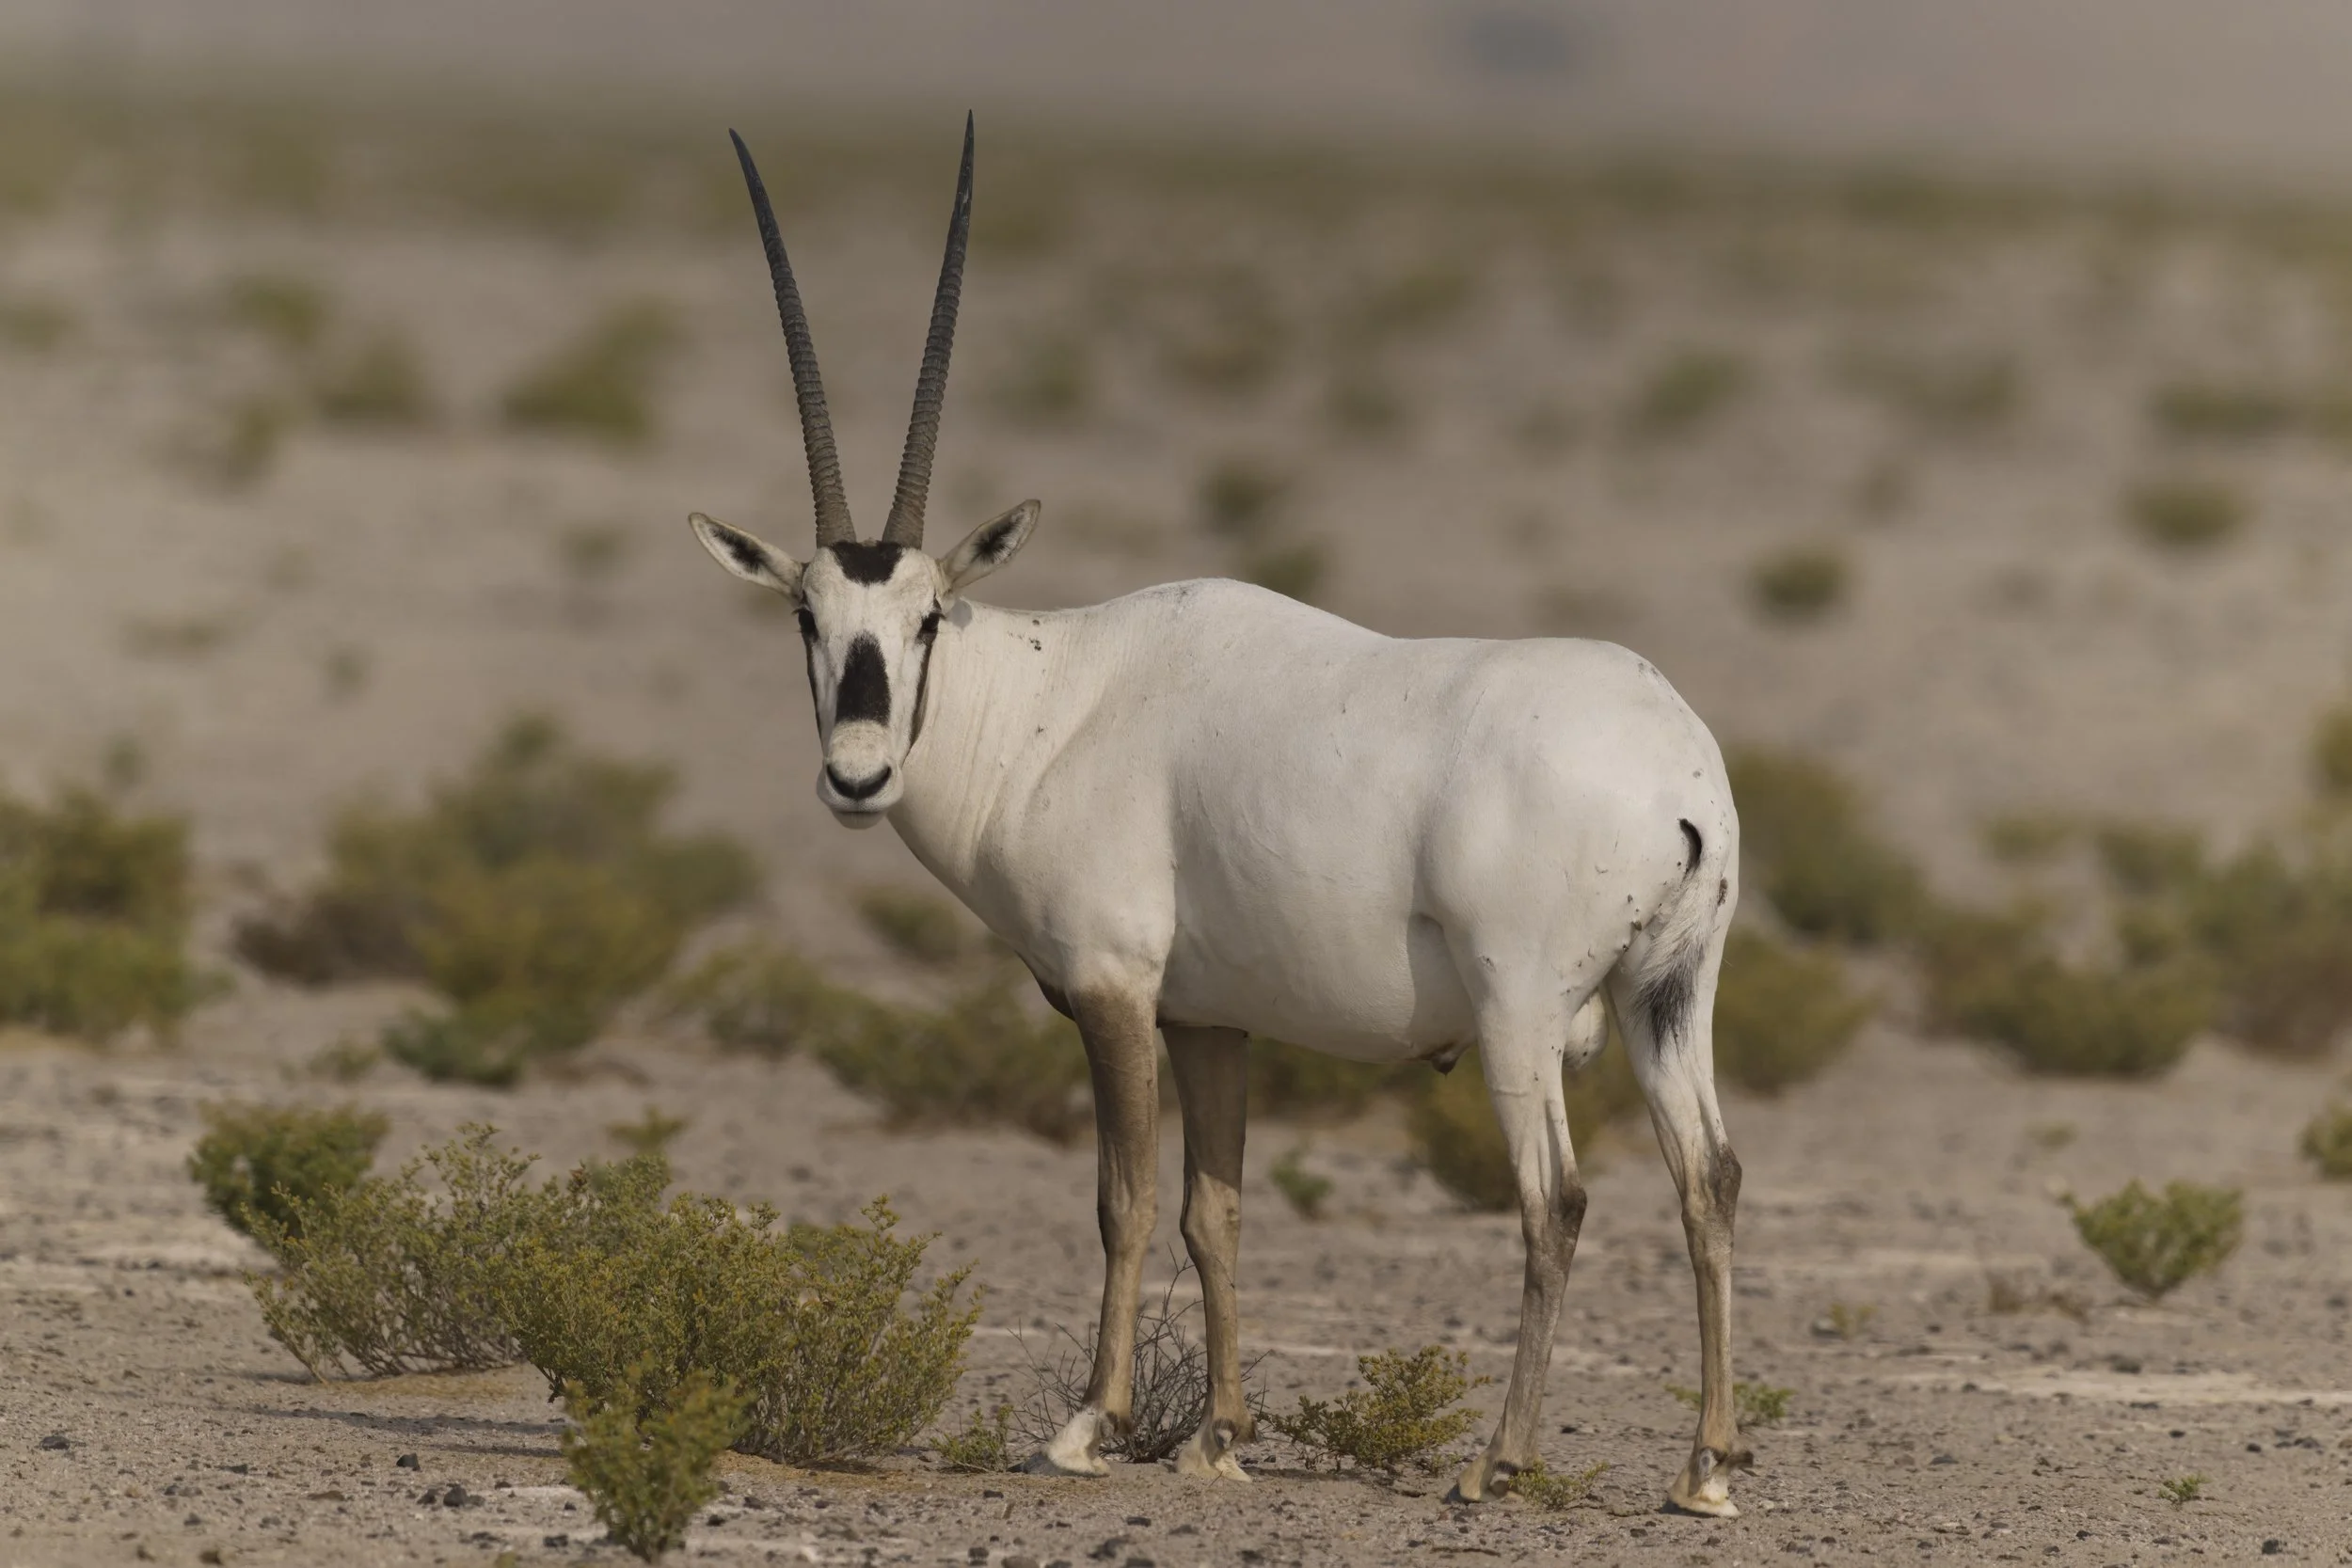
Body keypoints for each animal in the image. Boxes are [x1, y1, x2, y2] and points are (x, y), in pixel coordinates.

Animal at [689, 117, 1748, 1515]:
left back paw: (1498, 1458)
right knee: (1707, 1177)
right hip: (1667, 995)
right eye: (806, 615)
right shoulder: (1211, 1016)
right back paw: (1705, 1466)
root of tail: (1678, 770)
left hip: (1520, 1006)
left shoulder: (1114, 987)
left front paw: (1089, 1423)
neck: (1049, 702)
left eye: (924, 617)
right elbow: (1216, 1208)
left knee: (1555, 1196)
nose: (858, 774)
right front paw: (1217, 1435)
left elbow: (1125, 1198)